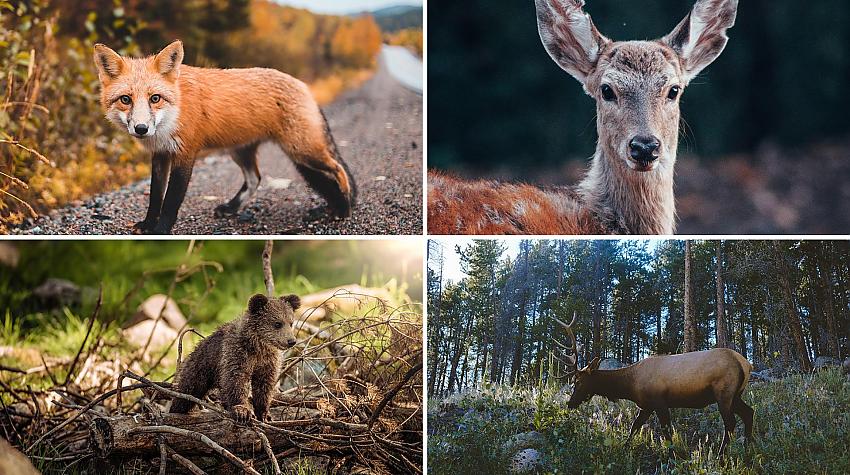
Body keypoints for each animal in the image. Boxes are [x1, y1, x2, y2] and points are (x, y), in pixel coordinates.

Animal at [93, 40, 354, 234]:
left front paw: (160, 231)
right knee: (255, 179)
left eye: (155, 98)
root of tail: (303, 85)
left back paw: (344, 208)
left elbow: (171, 201)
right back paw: (232, 207)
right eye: (126, 99)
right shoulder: (160, 154)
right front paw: (148, 224)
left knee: (338, 169)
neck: (175, 112)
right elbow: (156, 196)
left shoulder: (185, 154)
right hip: (241, 152)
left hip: (302, 151)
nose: (141, 129)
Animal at [552, 314, 752, 456]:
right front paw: (624, 448)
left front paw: (672, 455)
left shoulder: (659, 402)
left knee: (730, 422)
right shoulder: (645, 405)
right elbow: (634, 427)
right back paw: (748, 449)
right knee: (749, 412)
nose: (570, 403)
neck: (630, 386)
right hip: (736, 395)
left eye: (578, 381)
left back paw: (721, 455)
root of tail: (746, 363)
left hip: (724, 392)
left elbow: (666, 431)